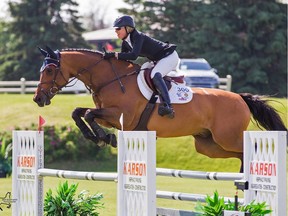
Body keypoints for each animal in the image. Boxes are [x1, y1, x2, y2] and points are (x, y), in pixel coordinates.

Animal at [33, 46, 286, 171]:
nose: (38, 99)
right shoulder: (109, 116)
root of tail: (240, 98)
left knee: (250, 148)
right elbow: (79, 112)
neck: (111, 79)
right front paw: (99, 137)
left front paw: (106, 138)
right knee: (241, 153)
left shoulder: (122, 116)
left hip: (227, 137)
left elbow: (87, 113)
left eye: (49, 70)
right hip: (209, 145)